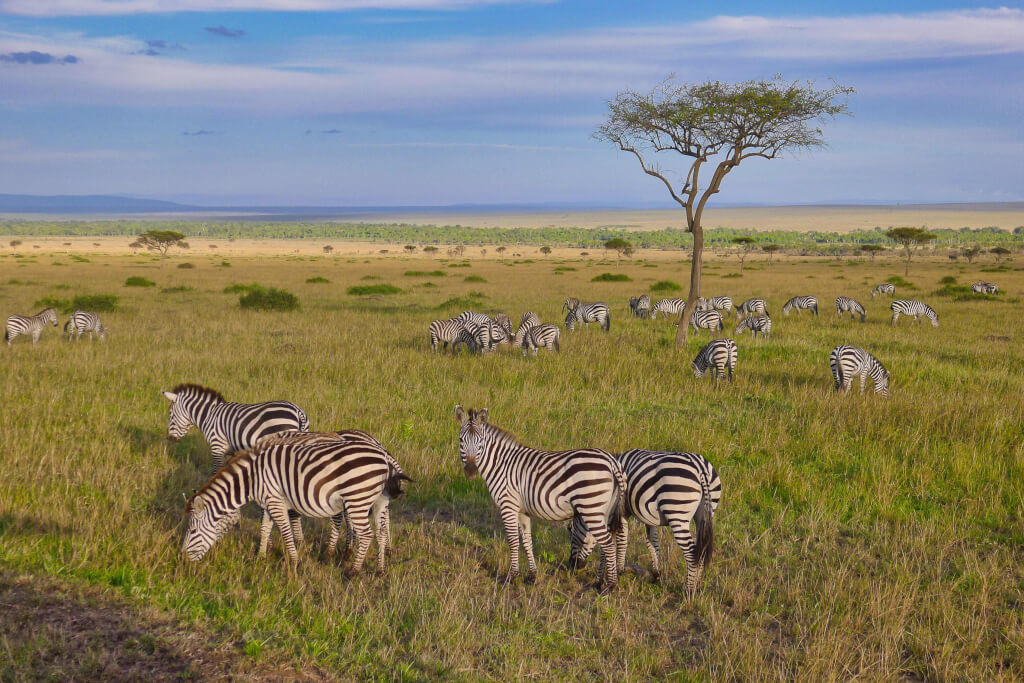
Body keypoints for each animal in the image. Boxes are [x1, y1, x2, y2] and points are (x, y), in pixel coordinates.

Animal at [160, 382, 307, 473]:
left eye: (170, 414)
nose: (169, 438)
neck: (209, 416)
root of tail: (298, 411)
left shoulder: (217, 446)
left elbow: (215, 472)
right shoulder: (230, 451)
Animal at [182, 432, 409, 577]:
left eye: (192, 531)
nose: (183, 560)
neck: (252, 478)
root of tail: (383, 456)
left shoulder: (275, 502)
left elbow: (285, 531)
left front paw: (294, 562)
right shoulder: (268, 502)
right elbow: (265, 529)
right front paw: (261, 557)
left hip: (357, 499)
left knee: (367, 534)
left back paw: (353, 571)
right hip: (377, 500)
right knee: (380, 531)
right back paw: (380, 570)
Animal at [454, 405, 626, 593]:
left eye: (480, 442)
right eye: (461, 440)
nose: (471, 471)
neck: (501, 464)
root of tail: (611, 461)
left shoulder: (508, 505)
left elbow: (513, 541)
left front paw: (511, 577)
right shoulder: (522, 510)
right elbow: (527, 541)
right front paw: (531, 576)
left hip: (591, 508)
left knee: (607, 544)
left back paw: (610, 586)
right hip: (605, 510)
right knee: (607, 543)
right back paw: (599, 582)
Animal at [569, 450, 720, 593]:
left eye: (571, 531)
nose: (572, 566)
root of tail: (700, 467)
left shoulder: (619, 513)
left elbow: (619, 542)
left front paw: (614, 574)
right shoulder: (649, 518)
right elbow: (652, 543)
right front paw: (656, 575)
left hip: (677, 512)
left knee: (691, 552)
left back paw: (689, 590)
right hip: (705, 514)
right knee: (701, 549)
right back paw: (698, 586)